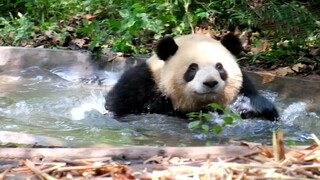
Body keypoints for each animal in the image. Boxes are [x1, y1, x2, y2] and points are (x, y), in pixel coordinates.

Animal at [106, 33, 278, 121]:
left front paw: (247, 107)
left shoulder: (244, 85)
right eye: (193, 68)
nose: (210, 83)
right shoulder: (144, 84)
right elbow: (119, 104)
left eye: (219, 67)